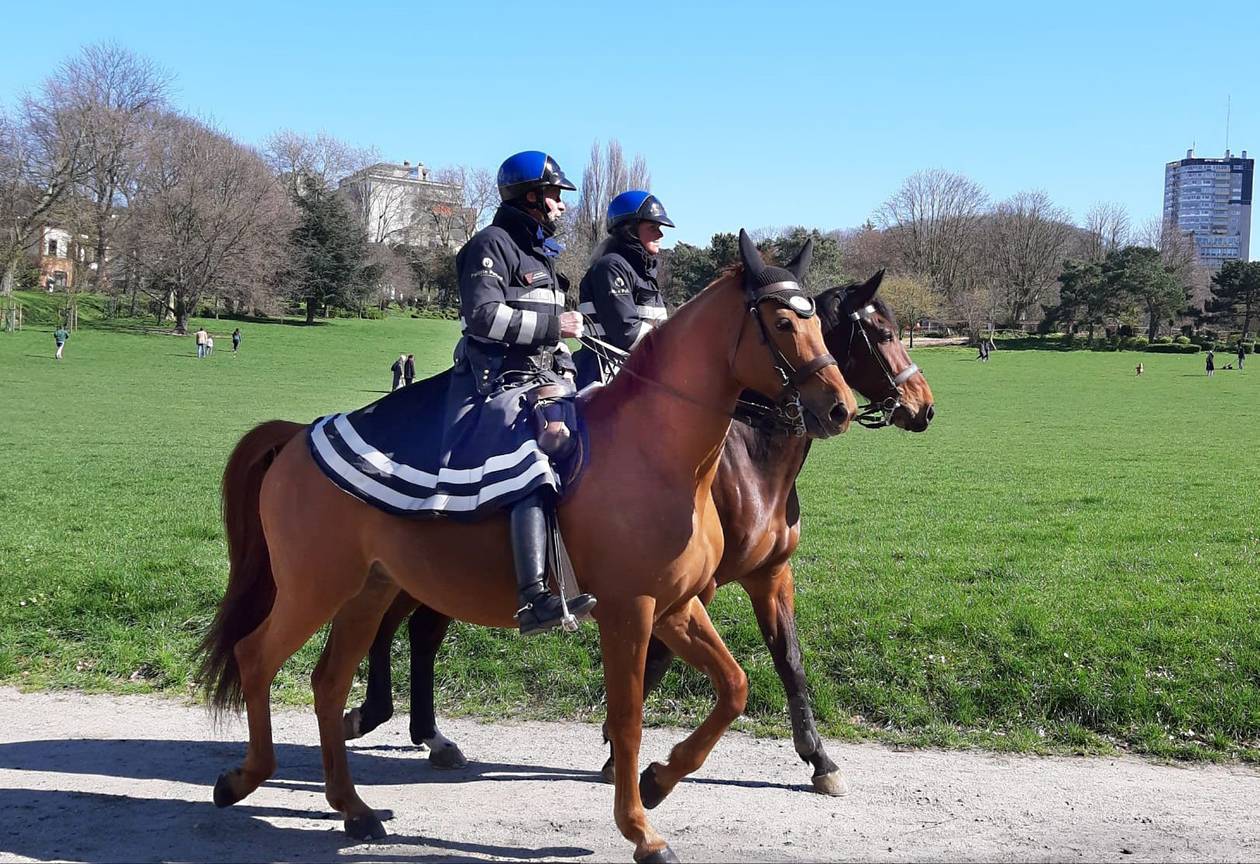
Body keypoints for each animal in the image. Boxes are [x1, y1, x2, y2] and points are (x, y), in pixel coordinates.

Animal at [196, 231, 857, 863]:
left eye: (818, 321)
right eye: (782, 322)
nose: (841, 407)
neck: (658, 451)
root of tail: (298, 435)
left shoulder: (678, 606)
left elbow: (734, 688)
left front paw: (658, 781)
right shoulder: (631, 611)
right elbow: (627, 718)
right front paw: (641, 829)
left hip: (367, 592)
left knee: (329, 683)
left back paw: (353, 807)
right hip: (314, 589)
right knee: (256, 656)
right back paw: (244, 778)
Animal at [343, 271, 936, 797]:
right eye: (882, 331)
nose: (923, 405)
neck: (747, 455)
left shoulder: (768, 576)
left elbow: (789, 660)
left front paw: (819, 759)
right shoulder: (687, 586)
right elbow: (660, 657)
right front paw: (617, 747)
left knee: (415, 630)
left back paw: (418, 730)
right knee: (403, 628)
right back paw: (380, 716)